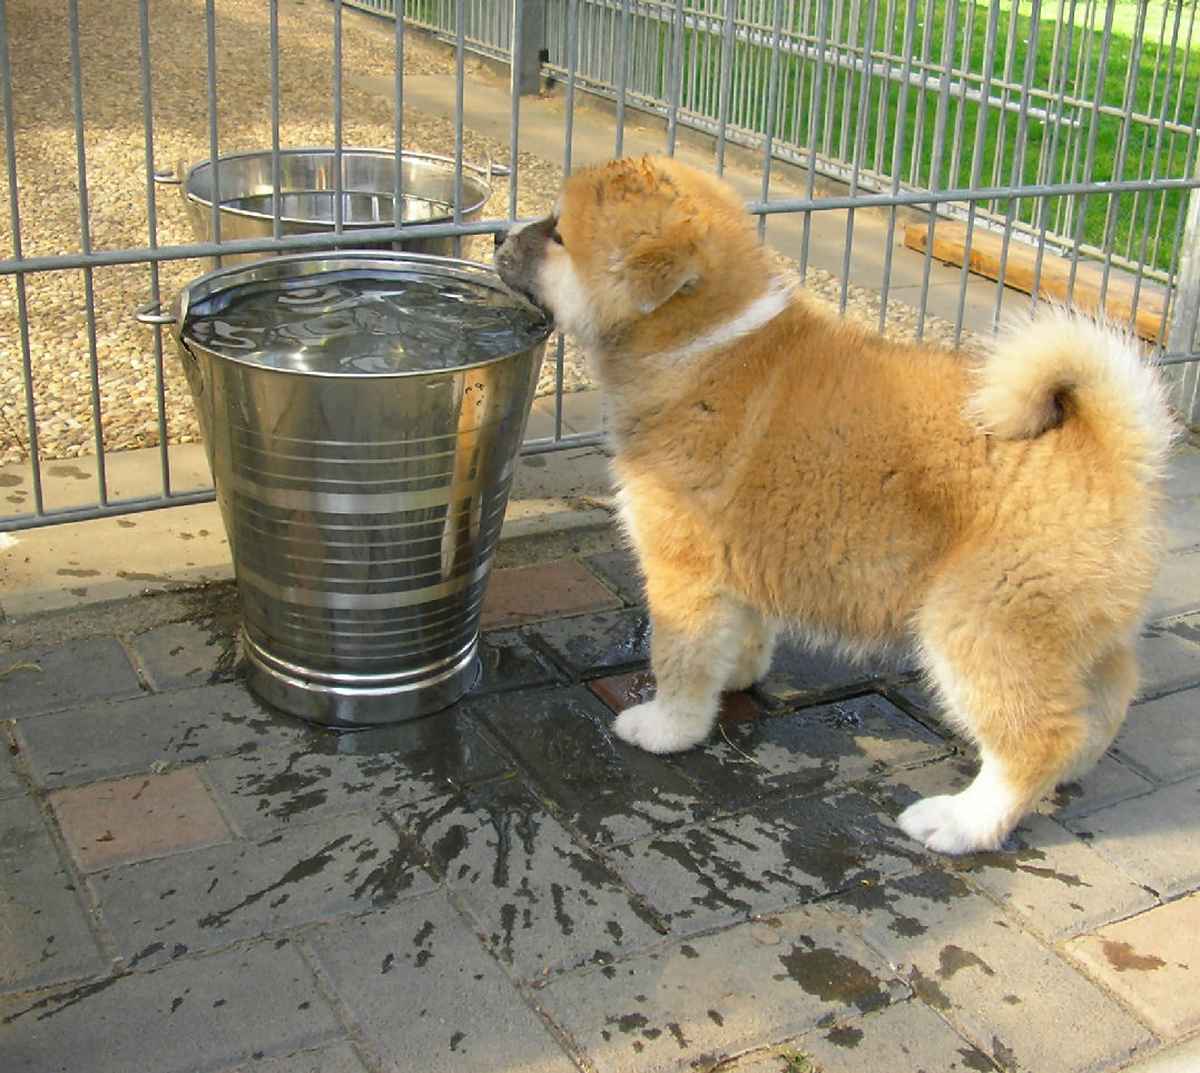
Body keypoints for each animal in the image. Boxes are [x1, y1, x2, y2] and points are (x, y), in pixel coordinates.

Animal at [494, 155, 1174, 855]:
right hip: (1070, 632)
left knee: (1036, 738)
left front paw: (668, 726)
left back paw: (961, 821)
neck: (701, 343)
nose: (497, 236)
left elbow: (679, 656)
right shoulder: (740, 556)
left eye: (558, 234)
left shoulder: (684, 568)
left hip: (982, 623)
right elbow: (741, 633)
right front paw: (735, 676)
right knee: (1103, 702)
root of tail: (1110, 449)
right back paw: (1071, 770)